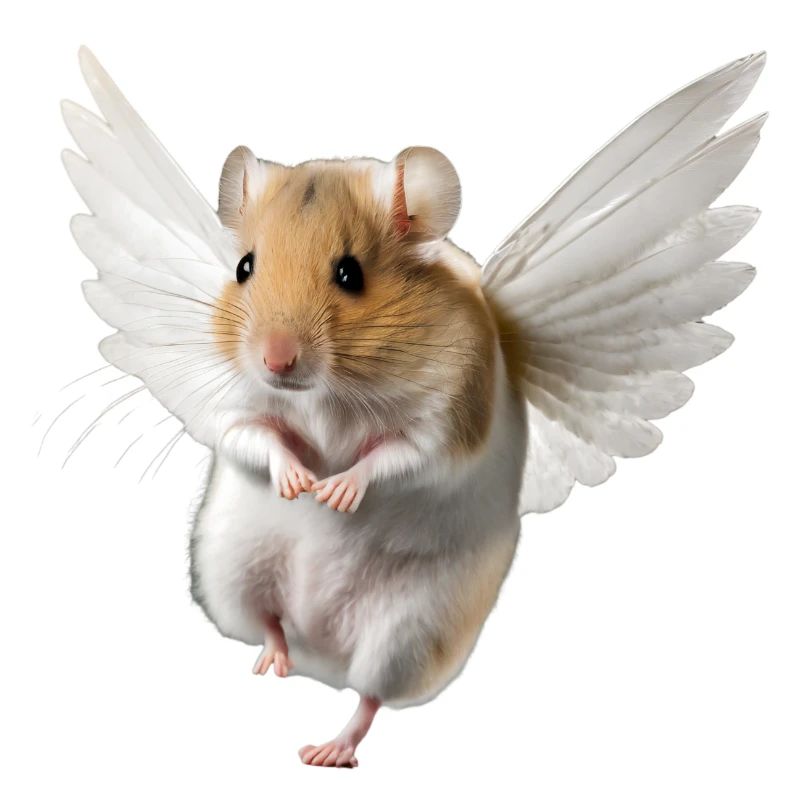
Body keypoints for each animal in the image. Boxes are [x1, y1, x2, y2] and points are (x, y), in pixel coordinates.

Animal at [188, 145, 528, 767]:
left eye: (350, 273)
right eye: (245, 267)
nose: (275, 360)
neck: (330, 393)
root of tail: (322, 654)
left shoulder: (444, 423)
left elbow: (393, 454)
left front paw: (334, 494)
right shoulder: (234, 410)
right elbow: (259, 437)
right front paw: (300, 483)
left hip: (407, 634)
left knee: (368, 698)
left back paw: (327, 752)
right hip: (231, 568)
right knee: (268, 621)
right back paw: (274, 662)